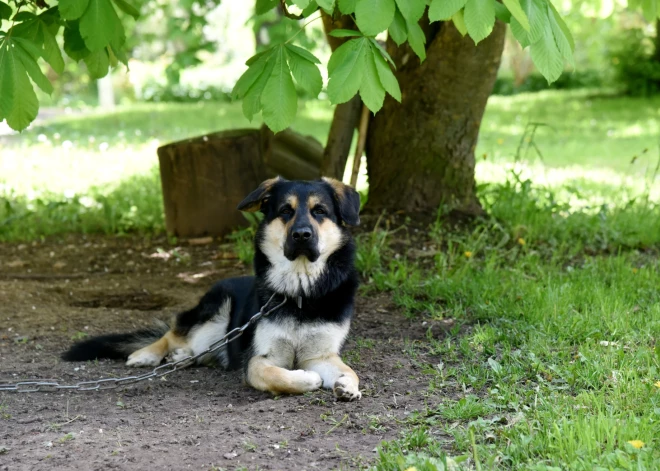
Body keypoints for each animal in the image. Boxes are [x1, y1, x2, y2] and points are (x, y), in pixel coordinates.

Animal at [63, 177, 364, 402]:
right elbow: (278, 376)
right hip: (214, 308)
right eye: (285, 211)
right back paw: (147, 354)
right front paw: (307, 379)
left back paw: (182, 358)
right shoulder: (260, 359)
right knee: (173, 333)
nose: (302, 234)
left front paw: (347, 384)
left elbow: (350, 370)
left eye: (320, 211)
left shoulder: (321, 354)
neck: (300, 291)